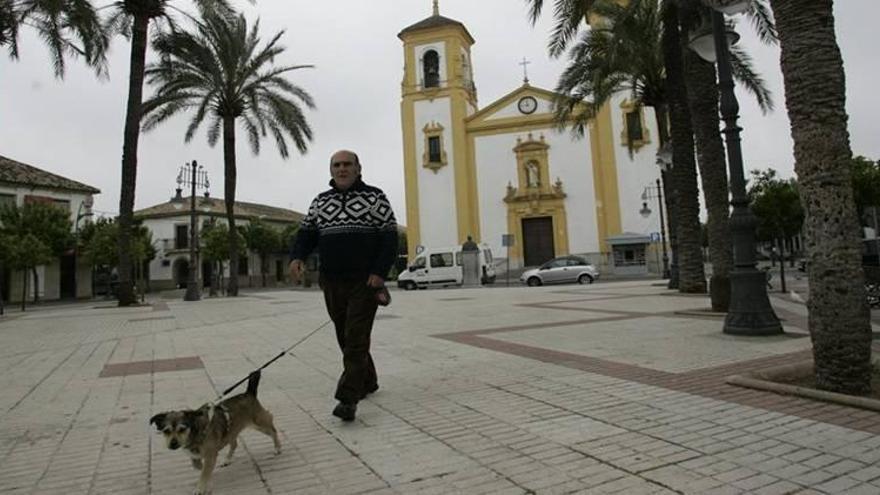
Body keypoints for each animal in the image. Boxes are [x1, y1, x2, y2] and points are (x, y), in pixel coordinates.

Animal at [150, 372, 282, 495]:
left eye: (182, 429)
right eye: (166, 431)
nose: (172, 444)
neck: (196, 432)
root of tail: (249, 393)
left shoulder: (210, 456)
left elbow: (204, 473)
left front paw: (200, 488)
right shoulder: (196, 456)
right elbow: (200, 468)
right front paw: (206, 478)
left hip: (260, 423)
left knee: (273, 430)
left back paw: (277, 448)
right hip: (231, 431)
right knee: (234, 443)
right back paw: (227, 459)